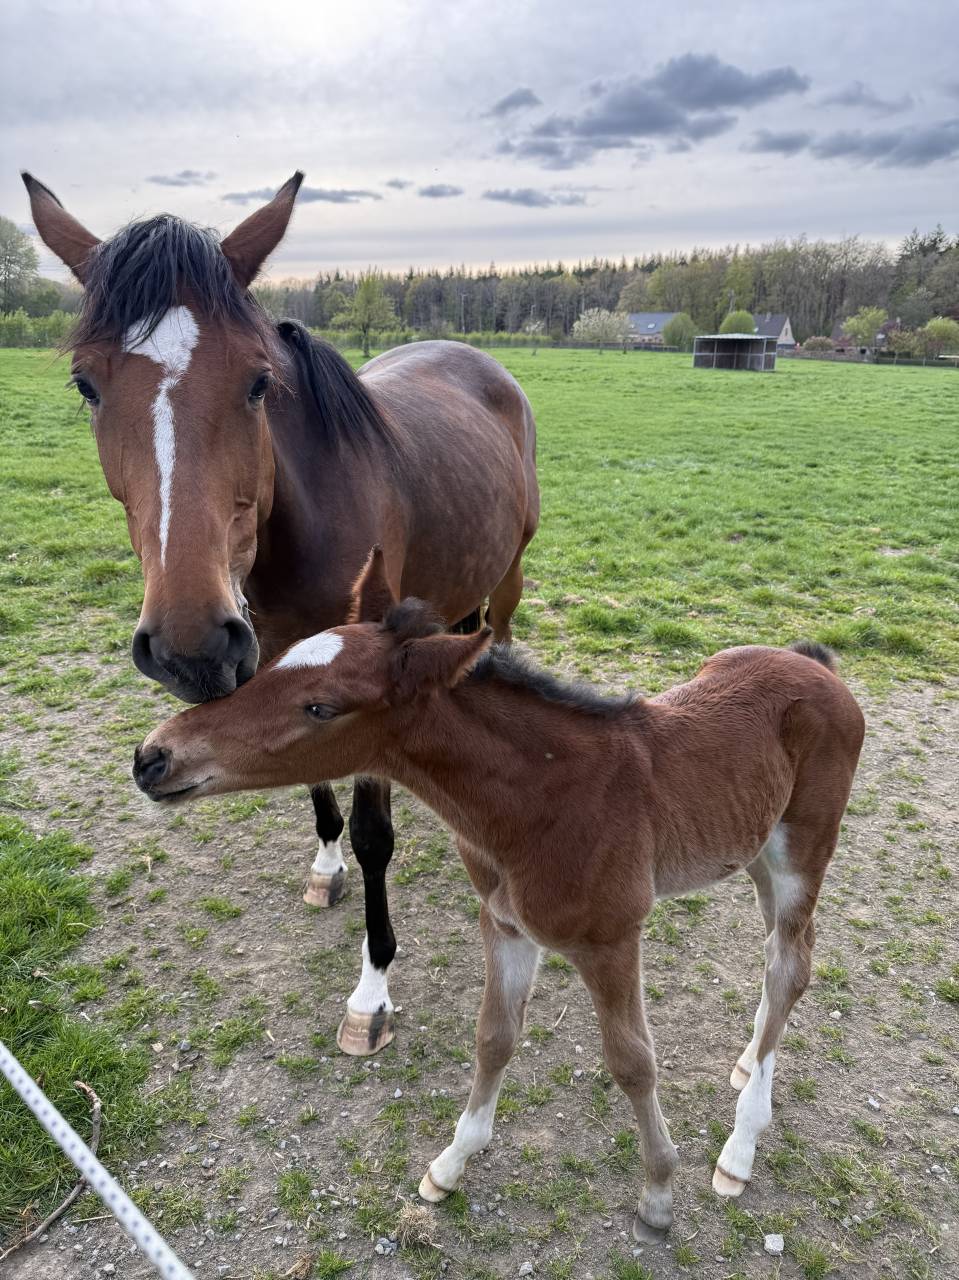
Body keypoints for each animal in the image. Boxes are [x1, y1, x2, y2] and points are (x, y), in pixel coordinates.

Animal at [23, 171, 539, 1056]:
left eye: (258, 382)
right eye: (86, 384)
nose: (189, 646)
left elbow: (373, 836)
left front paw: (371, 991)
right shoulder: (275, 658)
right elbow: (314, 783)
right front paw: (326, 867)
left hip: (505, 577)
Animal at [133, 548, 865, 1239]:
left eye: (320, 707)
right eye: (278, 660)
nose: (153, 757)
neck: (539, 799)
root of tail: (819, 668)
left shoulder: (612, 939)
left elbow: (633, 1062)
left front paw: (658, 1195)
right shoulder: (505, 924)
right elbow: (494, 1037)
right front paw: (450, 1163)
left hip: (803, 851)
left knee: (789, 964)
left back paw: (740, 1147)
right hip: (755, 850)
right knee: (781, 958)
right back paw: (746, 1064)